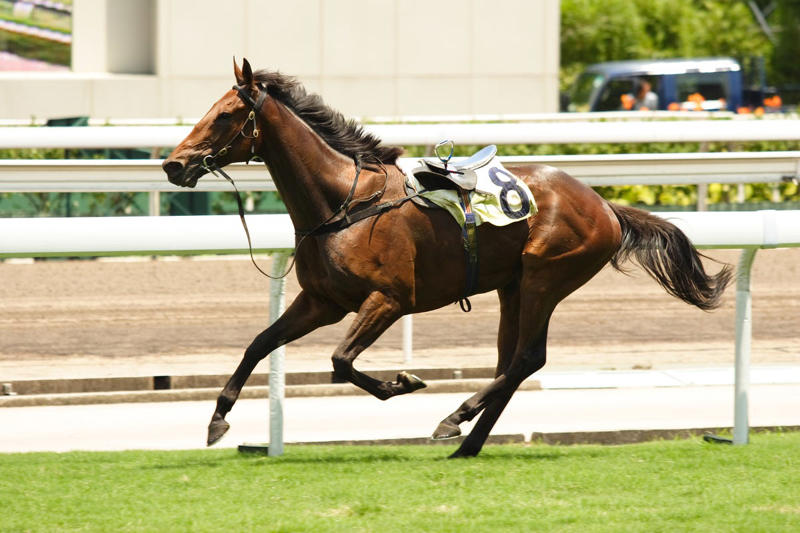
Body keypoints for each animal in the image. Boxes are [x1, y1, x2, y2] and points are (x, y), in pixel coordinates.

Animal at [163, 59, 732, 458]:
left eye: (226, 115)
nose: (173, 165)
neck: (343, 202)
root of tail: (605, 206)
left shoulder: (389, 299)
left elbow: (341, 361)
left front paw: (403, 382)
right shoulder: (323, 300)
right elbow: (260, 343)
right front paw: (218, 419)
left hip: (546, 278)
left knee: (526, 359)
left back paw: (455, 418)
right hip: (513, 286)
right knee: (512, 362)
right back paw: (468, 443)